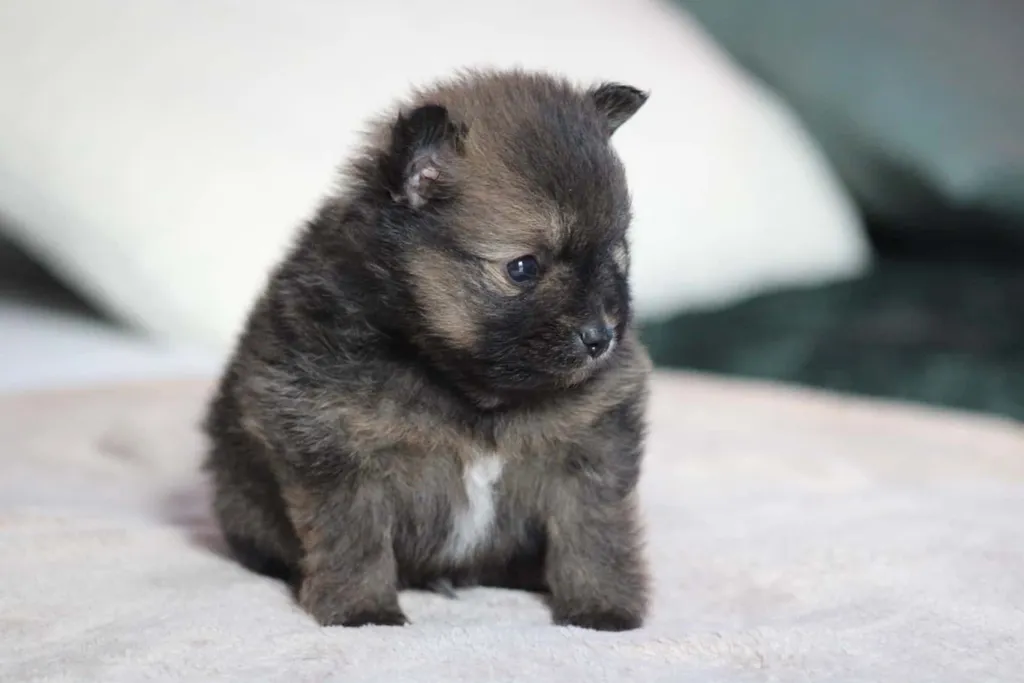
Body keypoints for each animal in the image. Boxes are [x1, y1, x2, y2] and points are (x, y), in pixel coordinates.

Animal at [202, 68, 651, 630]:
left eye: (619, 256)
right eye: (523, 267)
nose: (600, 337)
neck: (467, 387)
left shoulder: (591, 447)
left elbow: (594, 534)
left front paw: (601, 608)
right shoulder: (337, 446)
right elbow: (354, 536)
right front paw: (362, 611)